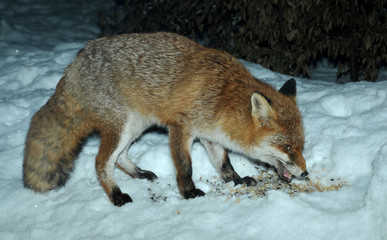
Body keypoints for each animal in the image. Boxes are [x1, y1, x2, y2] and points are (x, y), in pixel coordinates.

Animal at [24, 31, 310, 206]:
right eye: (287, 147)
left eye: (300, 147)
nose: (305, 173)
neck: (221, 97)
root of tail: (77, 60)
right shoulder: (181, 127)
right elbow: (185, 166)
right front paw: (189, 192)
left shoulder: (211, 135)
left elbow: (224, 163)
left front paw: (237, 180)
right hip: (123, 125)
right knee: (101, 162)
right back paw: (116, 195)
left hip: (136, 125)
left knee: (119, 157)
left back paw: (139, 173)